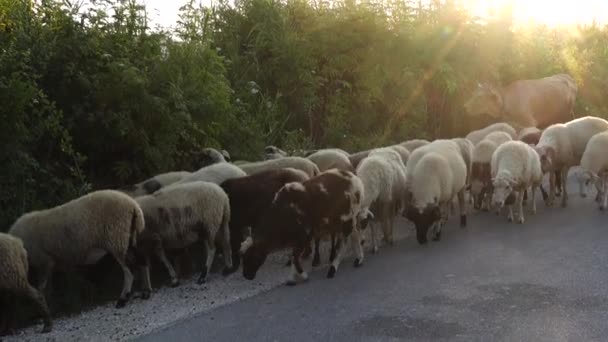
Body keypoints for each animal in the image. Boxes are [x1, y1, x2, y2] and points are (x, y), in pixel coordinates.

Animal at [8, 190, 144, 308]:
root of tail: (133, 205)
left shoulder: (44, 261)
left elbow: (42, 288)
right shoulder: (50, 262)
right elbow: (49, 288)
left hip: (117, 239)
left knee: (128, 271)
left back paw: (123, 299)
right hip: (128, 239)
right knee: (138, 262)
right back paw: (142, 291)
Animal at [240, 170, 368, 284]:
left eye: (252, 257)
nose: (247, 276)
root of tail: (355, 178)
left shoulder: (303, 236)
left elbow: (295, 258)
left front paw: (303, 275)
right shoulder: (296, 239)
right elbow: (293, 257)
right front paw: (292, 278)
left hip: (347, 218)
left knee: (344, 244)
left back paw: (333, 268)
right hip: (346, 219)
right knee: (355, 235)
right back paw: (358, 259)